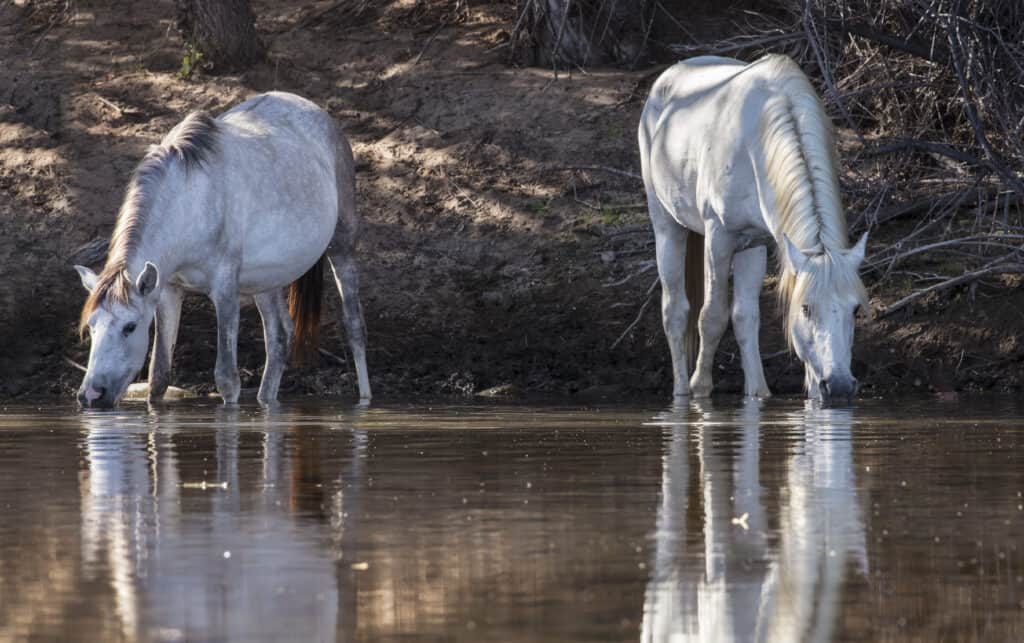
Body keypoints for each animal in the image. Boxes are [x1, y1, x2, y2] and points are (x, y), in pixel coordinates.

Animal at [74, 90, 372, 407]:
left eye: (129, 327)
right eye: (91, 326)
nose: (91, 395)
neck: (190, 202)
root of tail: (321, 116)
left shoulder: (225, 290)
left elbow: (227, 380)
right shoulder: (168, 291)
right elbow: (159, 377)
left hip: (342, 246)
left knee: (354, 325)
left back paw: (365, 400)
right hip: (267, 281)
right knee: (280, 337)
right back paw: (267, 402)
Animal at [638, 55, 872, 403]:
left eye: (855, 309)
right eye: (805, 309)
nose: (840, 385)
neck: (758, 142)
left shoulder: (756, 242)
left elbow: (745, 318)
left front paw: (758, 395)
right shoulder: (720, 237)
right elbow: (712, 316)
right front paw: (700, 388)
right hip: (667, 227)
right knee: (676, 311)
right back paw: (681, 391)